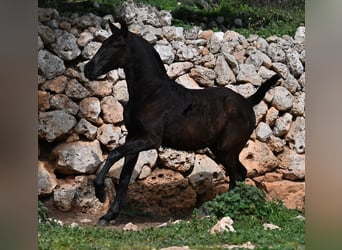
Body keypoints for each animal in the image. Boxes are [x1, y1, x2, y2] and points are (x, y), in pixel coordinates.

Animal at [83, 20, 280, 226]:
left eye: (115, 45)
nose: (88, 69)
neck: (151, 93)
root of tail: (248, 102)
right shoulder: (134, 138)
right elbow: (124, 178)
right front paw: (109, 215)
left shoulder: (149, 140)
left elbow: (113, 154)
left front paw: (100, 193)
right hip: (221, 149)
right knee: (240, 173)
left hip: (227, 149)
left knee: (237, 175)